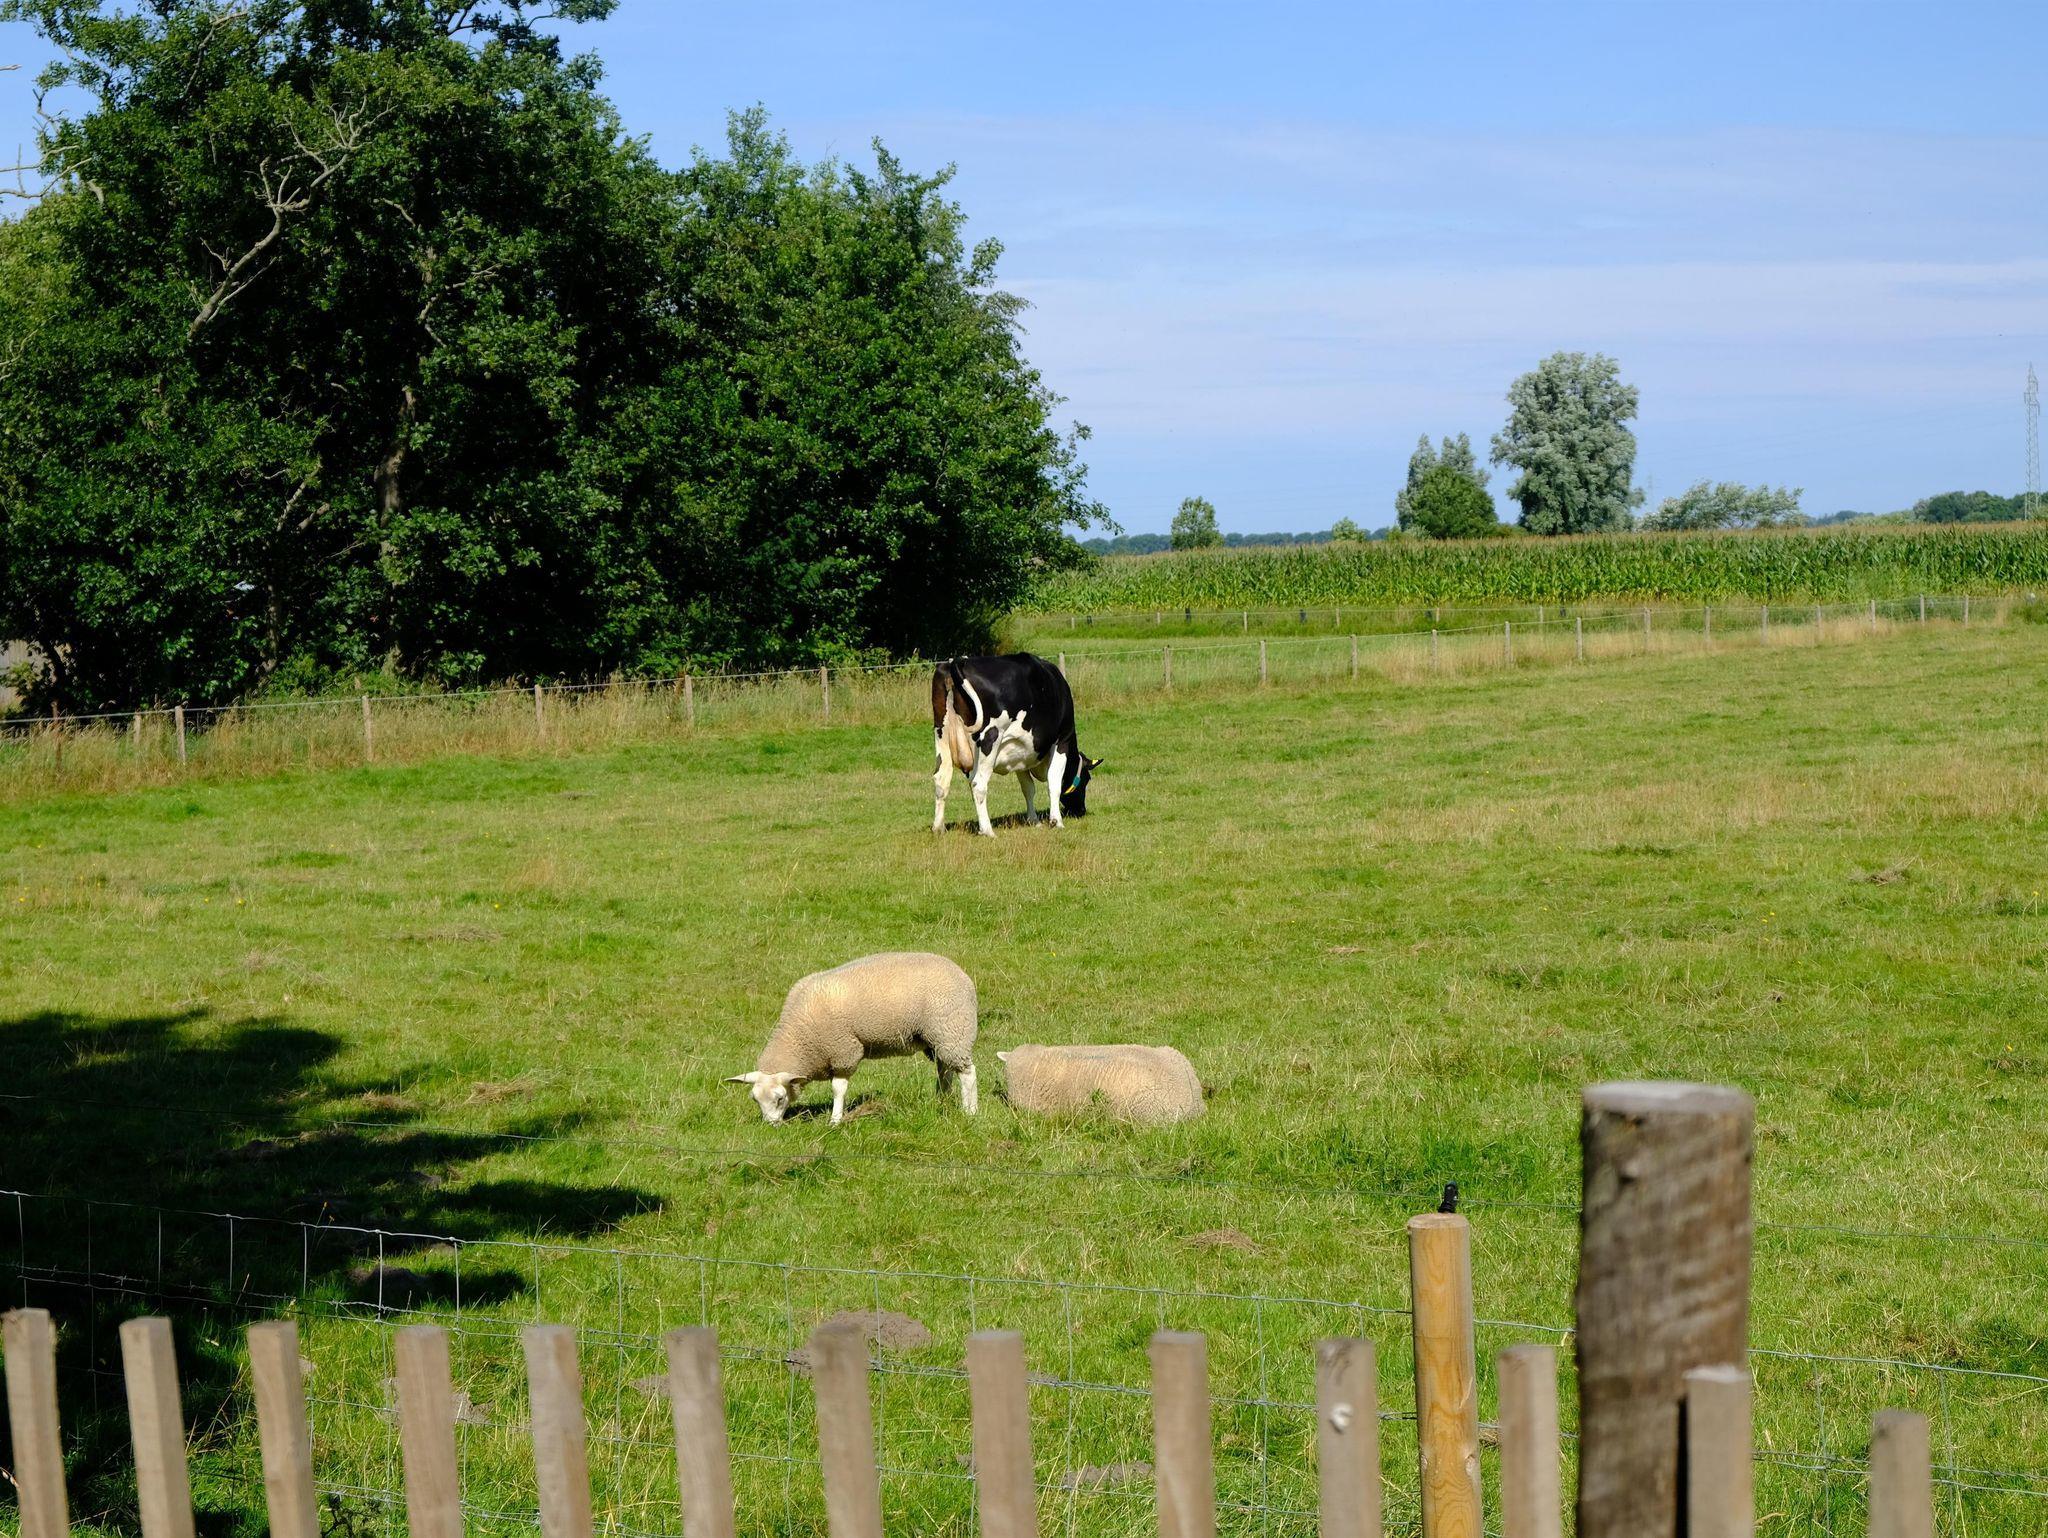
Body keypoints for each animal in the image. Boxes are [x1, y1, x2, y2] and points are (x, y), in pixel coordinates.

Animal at [727, 952, 978, 1126]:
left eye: (779, 1099)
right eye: (755, 1099)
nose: (771, 1126)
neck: (799, 1035)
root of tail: (962, 975)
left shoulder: (843, 1050)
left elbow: (838, 1088)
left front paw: (835, 1120)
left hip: (953, 1031)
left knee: (968, 1073)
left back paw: (970, 1111)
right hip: (938, 1039)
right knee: (945, 1070)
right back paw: (941, 1101)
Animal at [932, 654, 1103, 836]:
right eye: (1086, 779)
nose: (1081, 810)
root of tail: (958, 661)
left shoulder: (1021, 753)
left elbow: (1028, 788)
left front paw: (1034, 820)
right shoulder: (1062, 739)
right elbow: (1054, 783)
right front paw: (1056, 821)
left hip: (942, 737)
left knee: (941, 781)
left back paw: (938, 827)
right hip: (990, 738)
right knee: (978, 784)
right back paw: (987, 830)